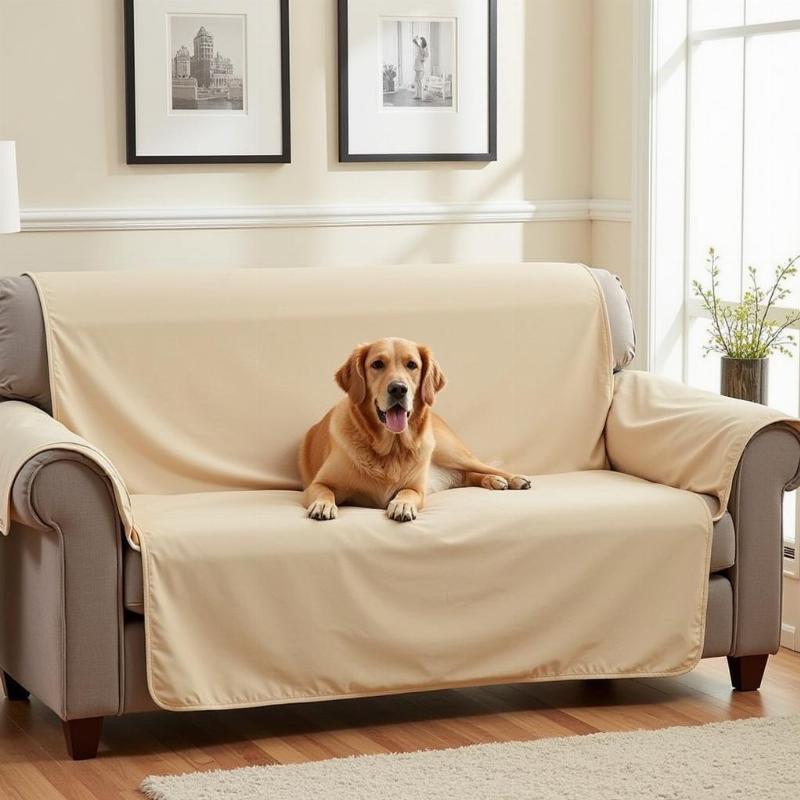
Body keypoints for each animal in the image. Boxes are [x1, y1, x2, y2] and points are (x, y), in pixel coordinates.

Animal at [300, 336, 532, 520]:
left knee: (481, 467)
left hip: (451, 452)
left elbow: (408, 492)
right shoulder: (316, 484)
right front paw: (323, 505)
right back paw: (495, 481)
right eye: (377, 364)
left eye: (411, 365)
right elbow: (325, 491)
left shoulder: (417, 489)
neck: (391, 448)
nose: (398, 389)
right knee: (466, 476)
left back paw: (512, 478)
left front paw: (402, 505)